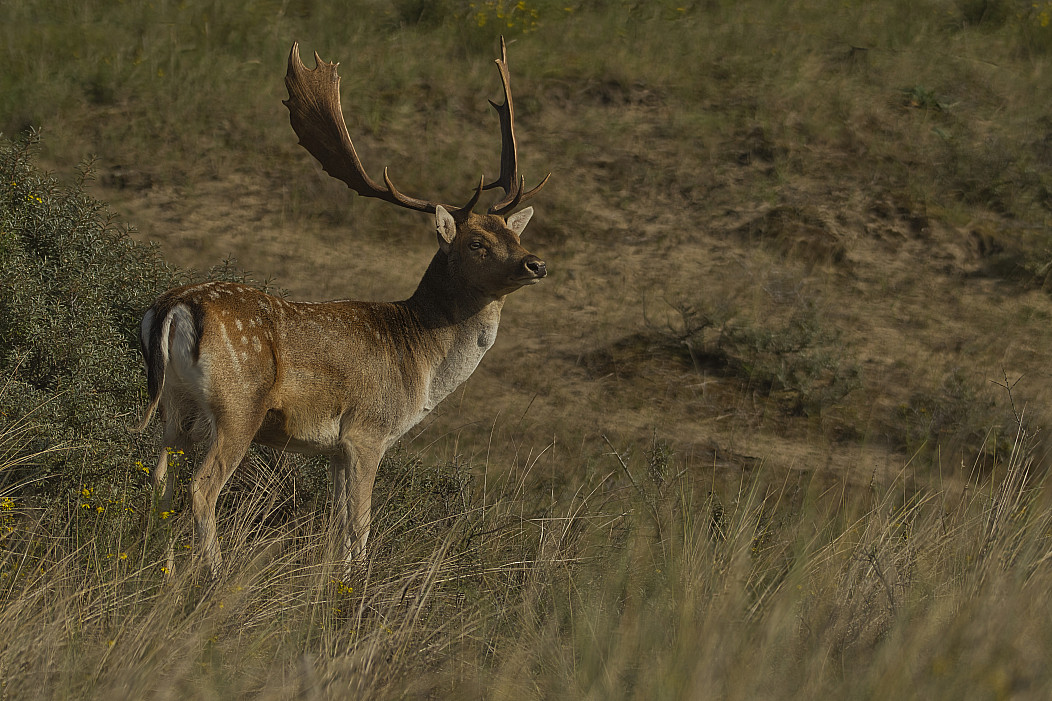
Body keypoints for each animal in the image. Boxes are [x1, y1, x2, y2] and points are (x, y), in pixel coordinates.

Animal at [135, 37, 549, 577]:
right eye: (476, 242)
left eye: (514, 235)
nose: (536, 263)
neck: (420, 361)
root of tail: (174, 306)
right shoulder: (367, 431)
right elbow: (360, 525)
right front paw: (359, 583)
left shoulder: (331, 449)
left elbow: (336, 526)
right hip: (237, 404)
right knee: (201, 488)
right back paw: (215, 575)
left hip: (171, 407)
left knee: (159, 481)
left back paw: (164, 574)